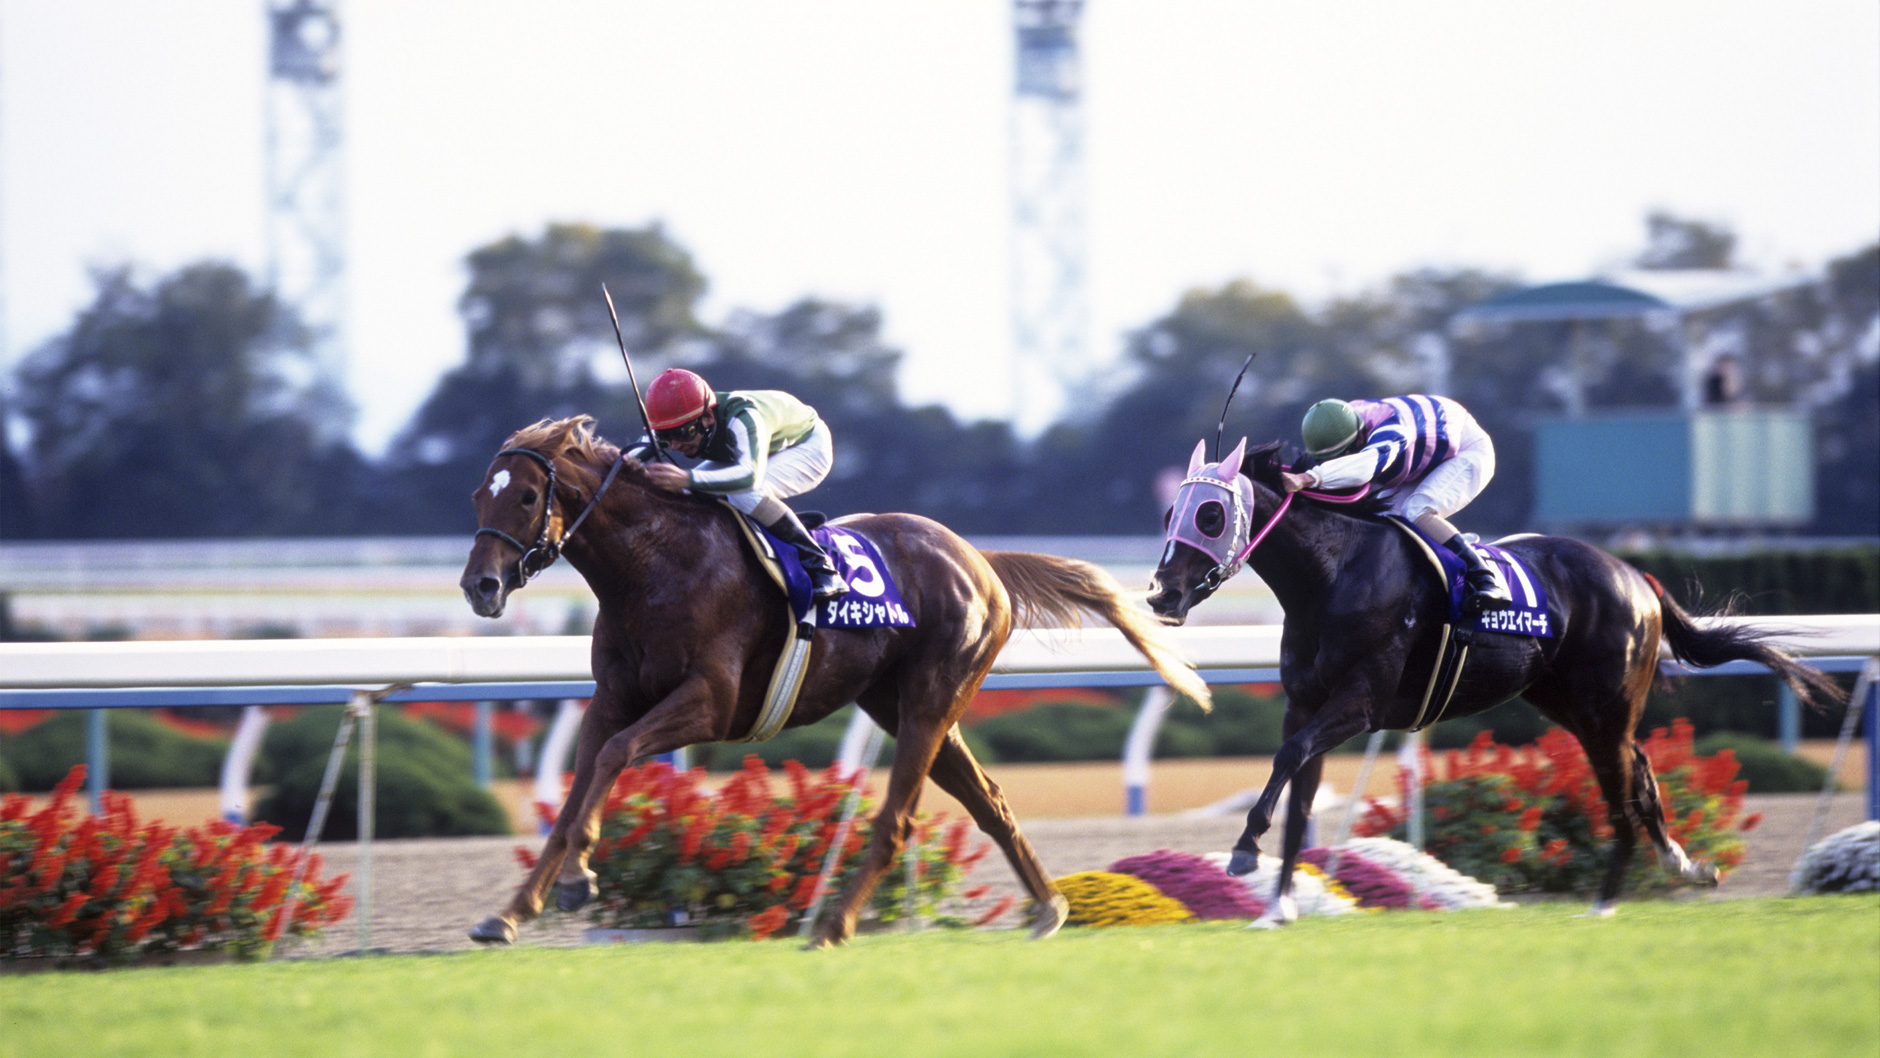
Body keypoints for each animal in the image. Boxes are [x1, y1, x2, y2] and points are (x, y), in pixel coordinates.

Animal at [458, 415, 1211, 947]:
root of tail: (979, 557)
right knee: (990, 801)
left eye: (527, 494)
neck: (655, 564)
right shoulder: (611, 700)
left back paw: (832, 924)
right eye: (478, 497)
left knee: (898, 818)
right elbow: (577, 790)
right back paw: (1049, 906)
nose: (479, 586)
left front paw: (577, 879)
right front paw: (515, 910)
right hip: (897, 704)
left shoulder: (710, 703)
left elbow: (615, 758)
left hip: (932, 699)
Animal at [1147, 436, 1846, 923]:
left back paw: (1605, 902)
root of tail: (1636, 577)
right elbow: (1297, 792)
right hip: (1569, 704)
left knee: (1621, 792)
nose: (1161, 596)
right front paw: (1278, 908)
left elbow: (1289, 759)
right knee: (1641, 770)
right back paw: (1683, 865)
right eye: (1170, 511)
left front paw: (1244, 848)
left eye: (1210, 515)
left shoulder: (1359, 703)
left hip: (1603, 708)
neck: (1332, 574)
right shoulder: (1307, 704)